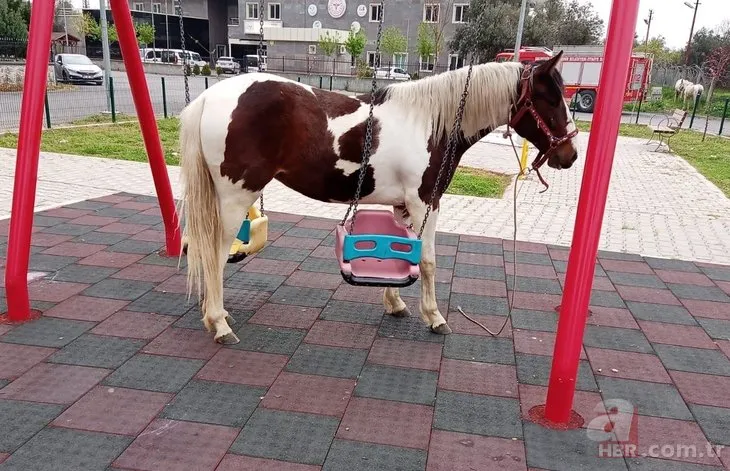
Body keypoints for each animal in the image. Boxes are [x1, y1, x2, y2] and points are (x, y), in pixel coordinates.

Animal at [176, 53, 576, 344]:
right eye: (551, 98)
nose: (569, 155)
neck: (431, 122)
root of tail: (209, 97)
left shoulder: (404, 207)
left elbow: (404, 253)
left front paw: (395, 303)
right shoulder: (425, 202)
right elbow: (428, 261)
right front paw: (434, 317)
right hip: (234, 197)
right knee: (214, 254)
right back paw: (219, 323)